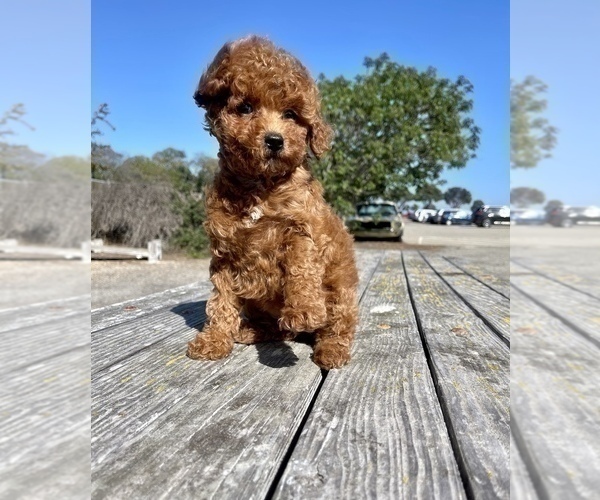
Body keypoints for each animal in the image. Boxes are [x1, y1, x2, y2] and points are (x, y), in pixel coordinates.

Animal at [186, 35, 356, 370]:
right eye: (246, 108)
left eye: (290, 114)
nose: (275, 140)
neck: (261, 186)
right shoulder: (224, 251)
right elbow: (220, 301)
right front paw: (214, 339)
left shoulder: (302, 228)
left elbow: (301, 268)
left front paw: (304, 310)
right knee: (279, 330)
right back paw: (251, 331)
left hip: (341, 290)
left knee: (339, 325)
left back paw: (331, 348)